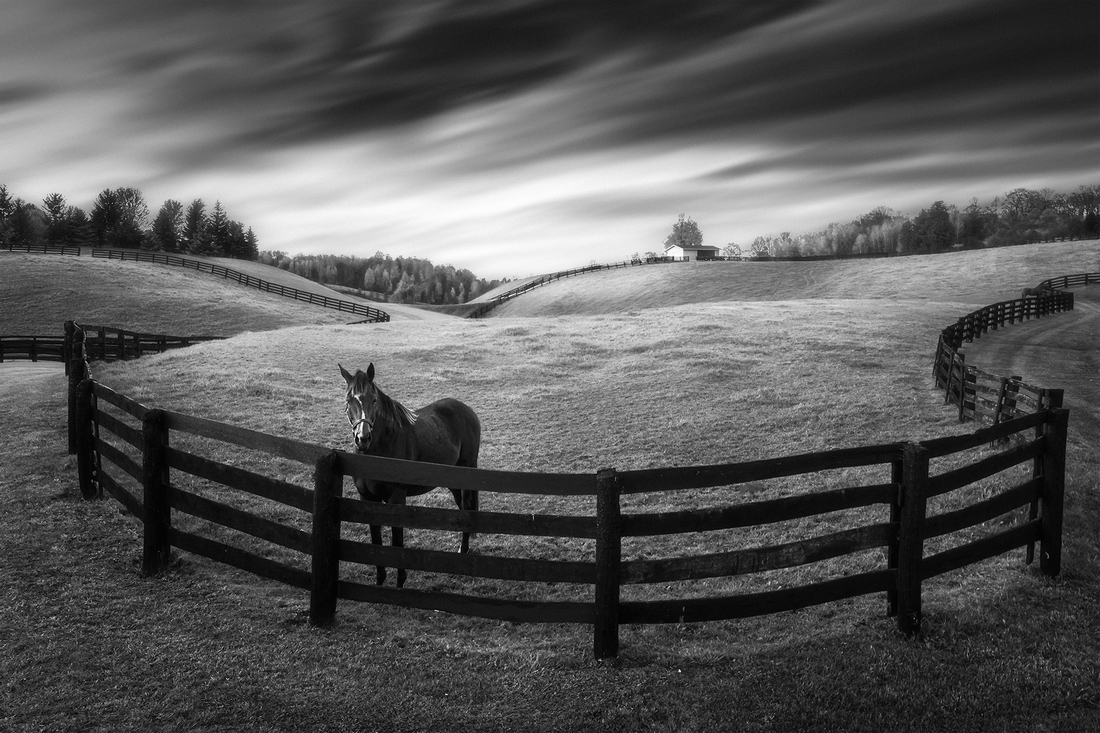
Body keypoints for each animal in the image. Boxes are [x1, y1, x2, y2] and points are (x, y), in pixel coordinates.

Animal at [339, 363, 481, 587]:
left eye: (374, 399)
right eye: (348, 400)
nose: (363, 438)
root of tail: (467, 410)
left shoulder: (396, 498)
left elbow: (397, 540)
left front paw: (399, 582)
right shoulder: (367, 498)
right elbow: (375, 539)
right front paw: (380, 581)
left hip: (466, 474)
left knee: (466, 507)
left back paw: (463, 550)